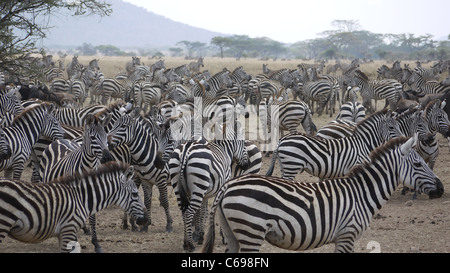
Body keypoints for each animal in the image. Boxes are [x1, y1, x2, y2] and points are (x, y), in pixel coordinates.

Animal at [0, 160, 148, 252]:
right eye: (135, 194)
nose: (146, 220)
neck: (81, 197)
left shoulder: (63, 233)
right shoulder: (69, 229)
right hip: (4, 223)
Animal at [169, 121, 250, 251]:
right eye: (243, 143)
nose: (247, 164)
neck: (224, 150)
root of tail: (186, 149)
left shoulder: (204, 194)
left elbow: (203, 211)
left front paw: (200, 235)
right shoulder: (221, 188)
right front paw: (223, 237)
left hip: (179, 184)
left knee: (183, 211)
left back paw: (185, 243)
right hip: (198, 183)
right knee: (188, 213)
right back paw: (190, 245)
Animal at [203, 135, 442, 252]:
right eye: (418, 164)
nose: (441, 189)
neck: (362, 194)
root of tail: (228, 186)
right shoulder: (347, 234)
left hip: (233, 232)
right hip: (251, 230)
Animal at [266, 109, 400, 180]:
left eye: (398, 126)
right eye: (391, 127)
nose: (402, 140)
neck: (364, 143)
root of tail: (282, 140)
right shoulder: (355, 166)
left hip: (285, 166)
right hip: (292, 165)